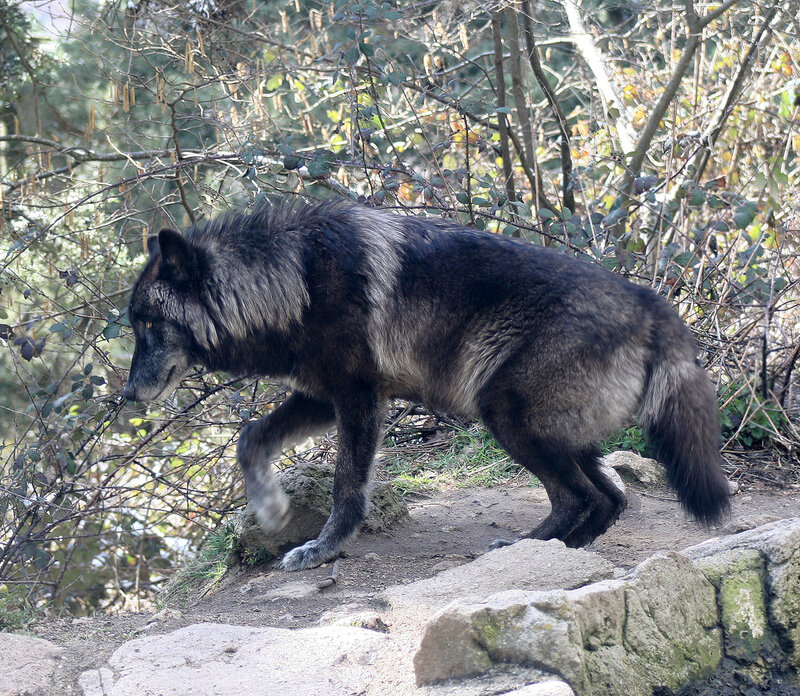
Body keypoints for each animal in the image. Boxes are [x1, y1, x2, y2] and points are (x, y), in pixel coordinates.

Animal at [123, 199, 730, 571]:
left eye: (148, 325)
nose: (127, 395)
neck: (294, 279)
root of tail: (654, 306)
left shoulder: (359, 398)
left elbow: (347, 486)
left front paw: (323, 549)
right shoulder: (322, 395)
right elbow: (251, 437)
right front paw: (271, 511)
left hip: (506, 417)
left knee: (582, 496)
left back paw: (525, 548)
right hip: (560, 434)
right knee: (611, 497)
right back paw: (563, 552)